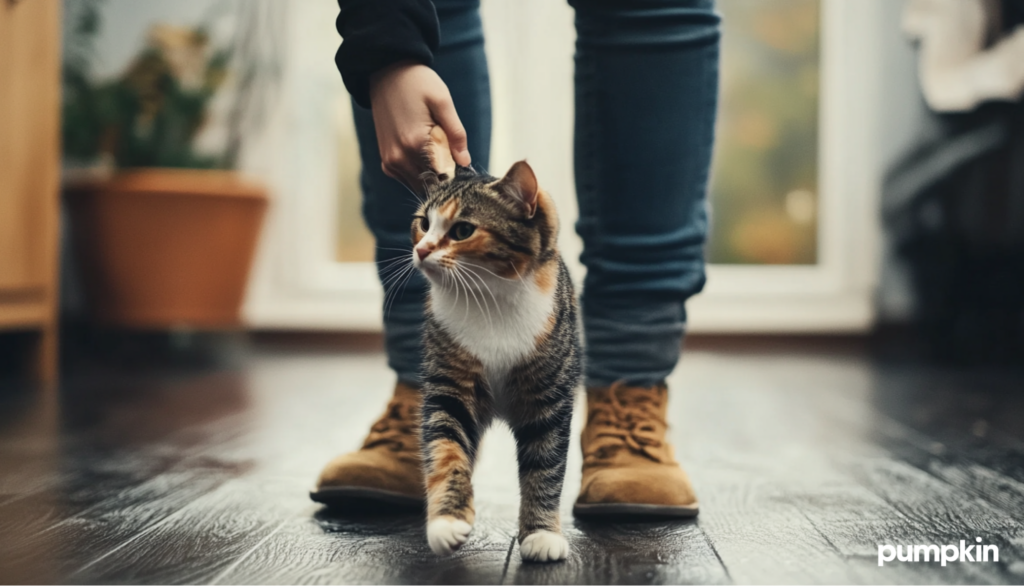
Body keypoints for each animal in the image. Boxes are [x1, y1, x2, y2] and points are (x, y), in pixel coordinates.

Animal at [409, 159, 585, 561]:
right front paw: (446, 521)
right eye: (423, 223)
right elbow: (446, 448)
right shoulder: (449, 385)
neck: (488, 301)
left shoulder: (550, 397)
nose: (422, 249)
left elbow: (546, 466)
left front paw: (542, 533)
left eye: (462, 230)